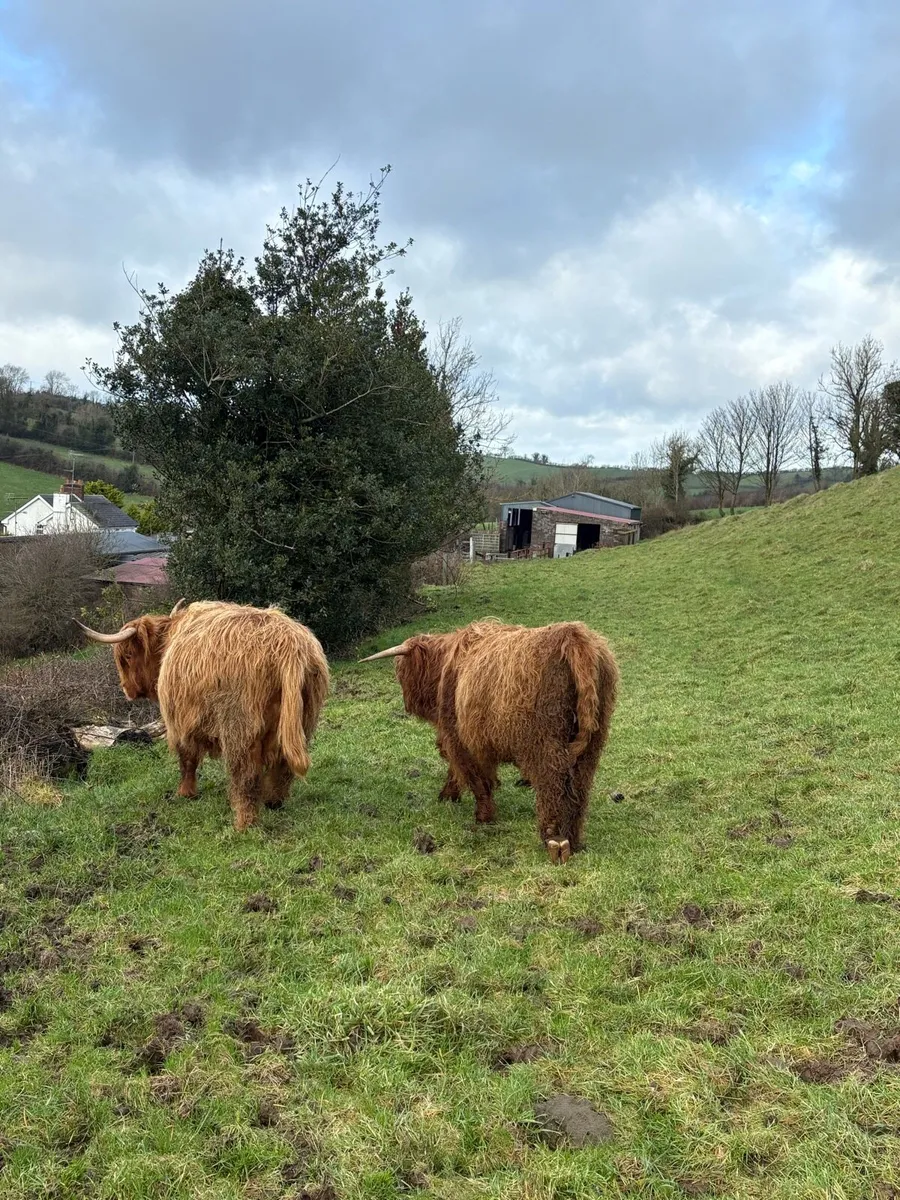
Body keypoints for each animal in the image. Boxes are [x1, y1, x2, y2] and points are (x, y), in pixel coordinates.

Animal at [76, 600, 330, 832]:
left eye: (127, 656)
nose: (125, 689)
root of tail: (288, 643)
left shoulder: (178, 720)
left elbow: (187, 759)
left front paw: (185, 793)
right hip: (301, 720)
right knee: (283, 766)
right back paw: (274, 802)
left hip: (239, 727)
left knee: (245, 775)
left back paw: (244, 824)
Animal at [361, 619, 619, 863]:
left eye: (402, 670)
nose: (407, 703)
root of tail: (572, 636)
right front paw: (449, 796)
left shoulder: (460, 738)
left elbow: (475, 778)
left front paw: (482, 816)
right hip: (592, 743)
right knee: (580, 786)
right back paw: (574, 839)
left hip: (546, 743)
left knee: (552, 784)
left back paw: (555, 841)